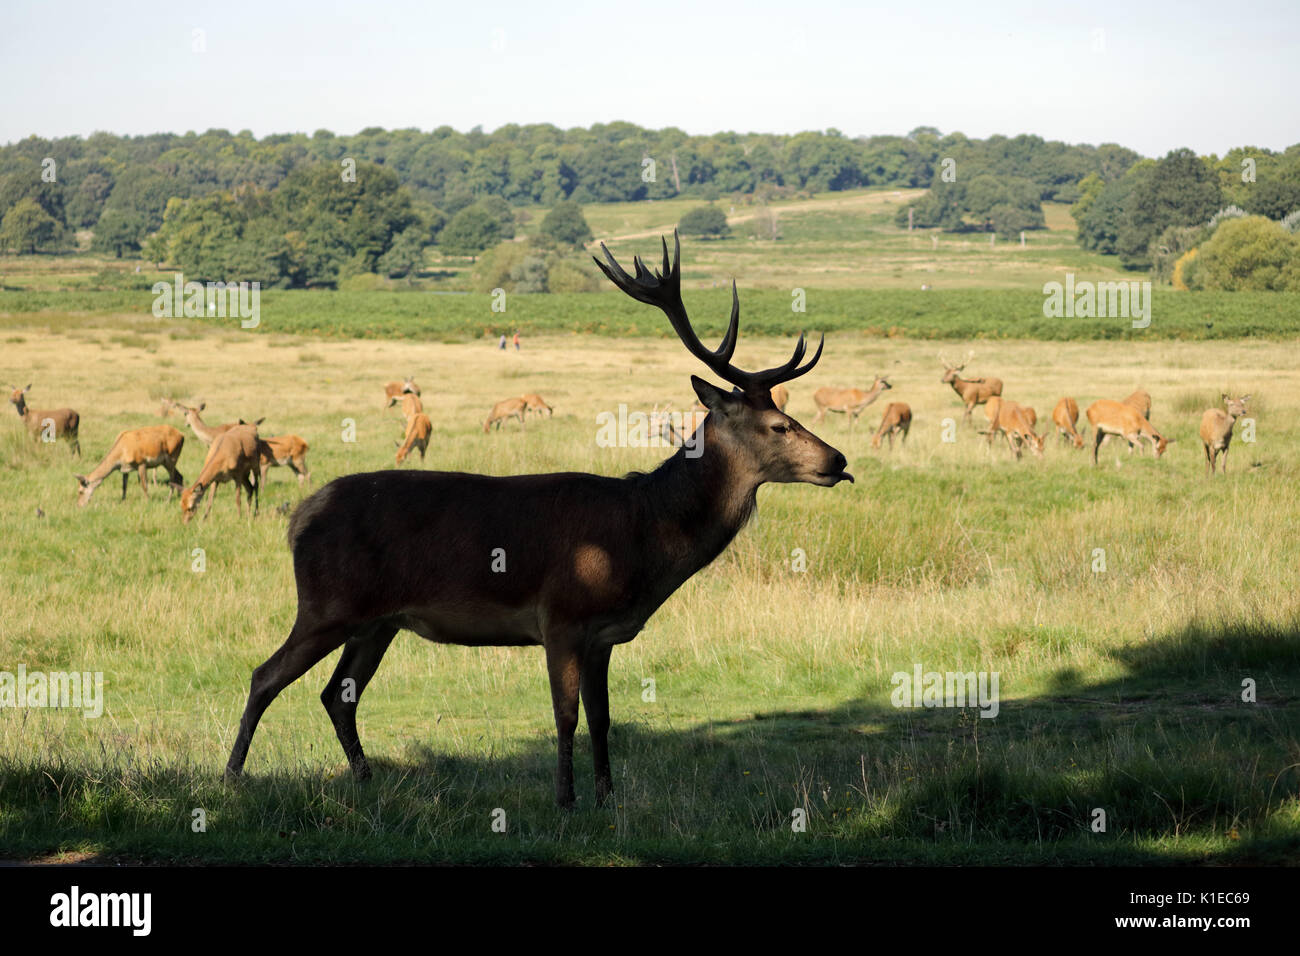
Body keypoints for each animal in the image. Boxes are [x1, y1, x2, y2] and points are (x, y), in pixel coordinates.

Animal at [223, 234, 852, 806]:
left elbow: (603, 719)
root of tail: (299, 519)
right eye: (778, 425)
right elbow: (566, 717)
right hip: (326, 603)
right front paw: (565, 800)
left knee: (337, 694)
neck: (643, 539)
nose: (839, 461)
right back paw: (231, 778)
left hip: (377, 622)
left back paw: (366, 780)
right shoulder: (561, 617)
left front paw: (606, 798)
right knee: (264, 676)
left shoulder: (602, 636)